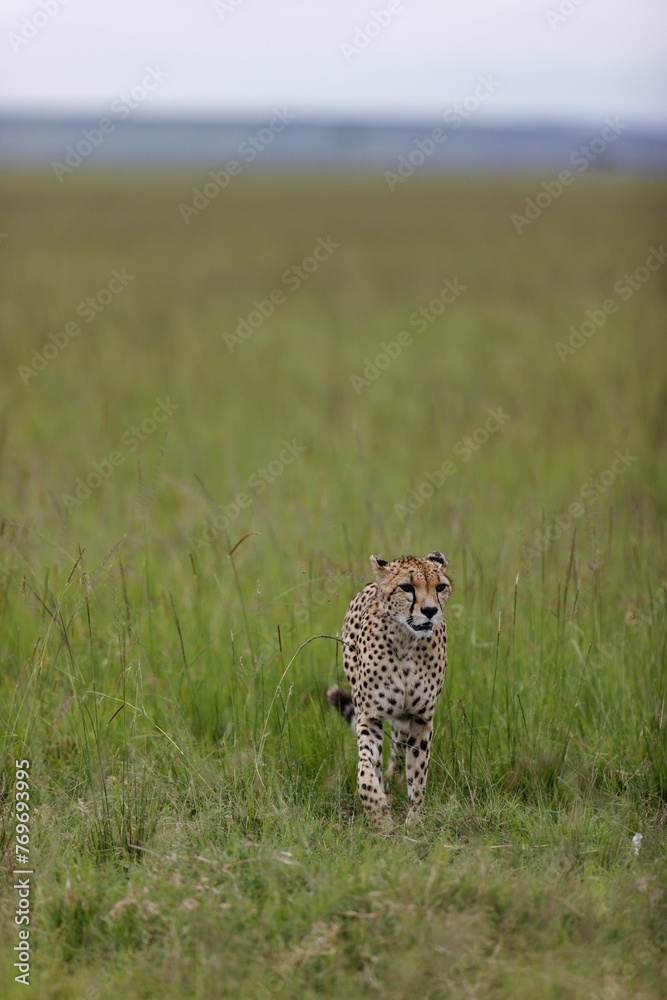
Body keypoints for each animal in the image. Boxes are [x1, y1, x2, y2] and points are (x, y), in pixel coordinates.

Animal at [327, 551, 452, 834]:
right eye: (406, 587)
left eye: (440, 587)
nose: (430, 611)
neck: (406, 641)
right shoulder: (370, 716)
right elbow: (366, 769)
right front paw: (379, 816)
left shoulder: (420, 719)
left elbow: (418, 774)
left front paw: (414, 823)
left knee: (398, 745)